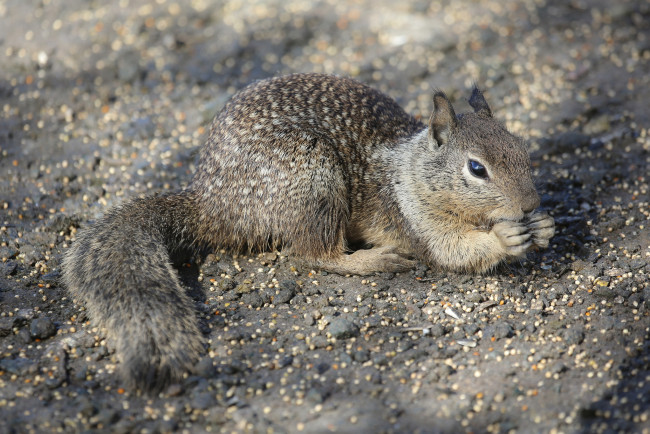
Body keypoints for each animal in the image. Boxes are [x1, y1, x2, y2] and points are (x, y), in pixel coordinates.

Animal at [63, 73, 556, 392]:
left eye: (522, 147)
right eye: (477, 169)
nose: (530, 204)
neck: (410, 169)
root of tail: (212, 206)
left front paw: (544, 227)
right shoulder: (416, 217)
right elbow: (452, 250)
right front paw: (504, 239)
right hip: (314, 182)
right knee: (312, 254)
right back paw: (373, 259)